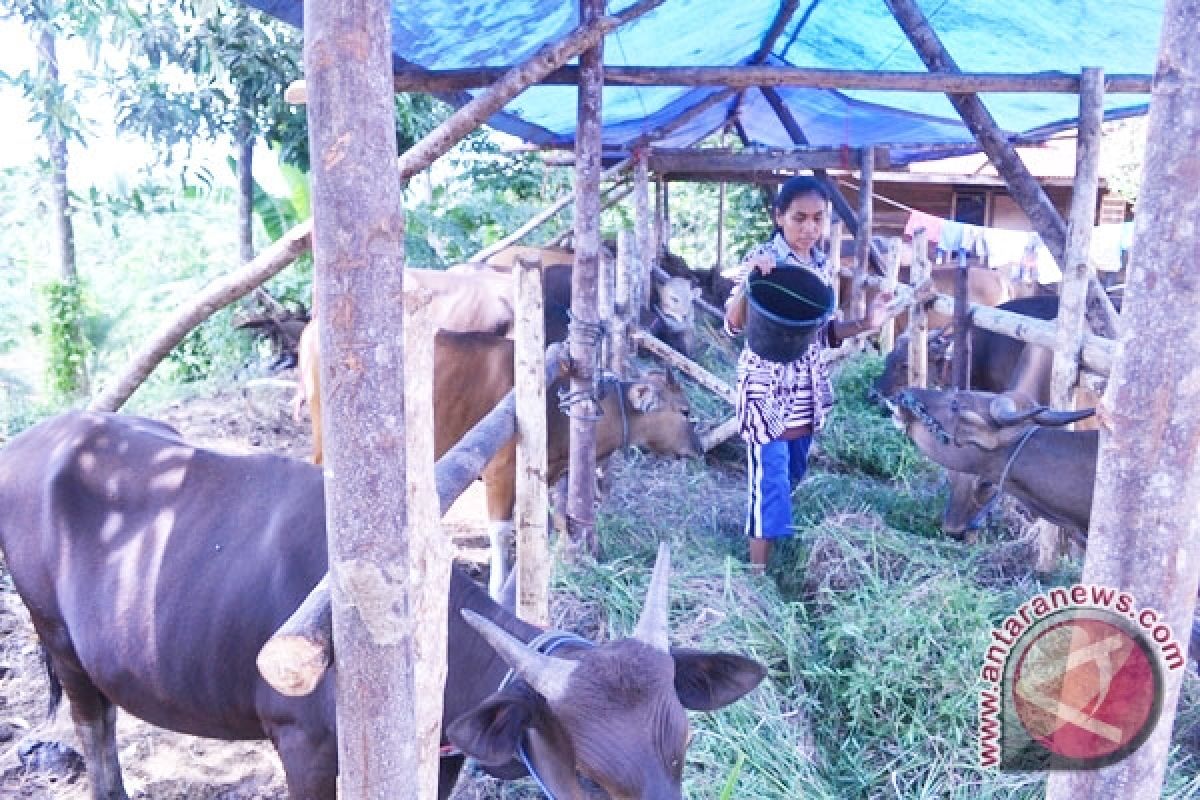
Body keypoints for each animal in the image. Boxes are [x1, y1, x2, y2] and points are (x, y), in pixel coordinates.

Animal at [0, 412, 768, 800]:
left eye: (681, 751)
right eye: (590, 777)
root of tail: (38, 438)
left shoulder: (445, 752)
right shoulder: (302, 745)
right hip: (59, 638)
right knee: (95, 732)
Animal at [292, 326, 700, 599]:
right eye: (685, 411)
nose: (699, 448)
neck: (558, 404)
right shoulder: (500, 471)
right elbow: (502, 532)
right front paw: (497, 585)